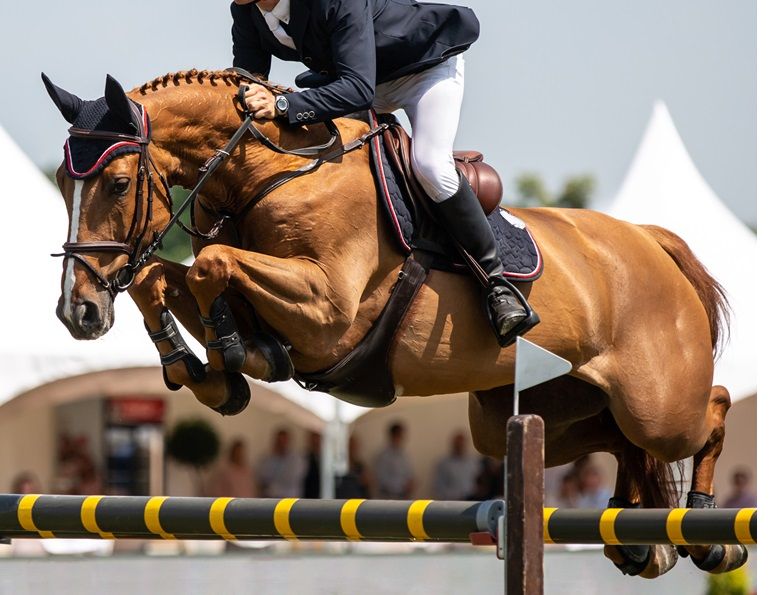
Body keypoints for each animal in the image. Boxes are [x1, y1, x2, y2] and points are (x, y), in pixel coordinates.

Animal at [43, 69, 746, 578]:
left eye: (118, 183)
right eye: (61, 183)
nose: (78, 313)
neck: (271, 172)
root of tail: (649, 241)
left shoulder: (328, 311)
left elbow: (211, 265)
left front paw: (233, 358)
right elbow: (167, 278)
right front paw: (206, 368)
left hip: (656, 403)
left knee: (708, 408)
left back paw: (709, 534)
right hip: (526, 410)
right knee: (614, 440)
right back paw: (640, 538)